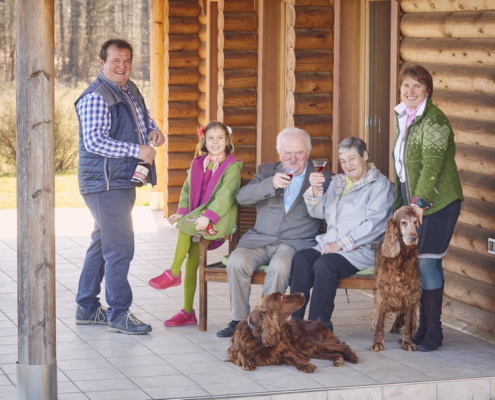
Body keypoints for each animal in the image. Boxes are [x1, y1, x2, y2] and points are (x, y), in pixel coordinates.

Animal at [227, 290, 358, 372]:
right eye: (281, 297)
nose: (302, 293)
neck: (258, 337)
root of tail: (320, 323)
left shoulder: (285, 350)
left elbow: (294, 358)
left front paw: (305, 365)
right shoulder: (233, 349)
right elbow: (240, 352)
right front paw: (248, 362)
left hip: (310, 343)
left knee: (344, 346)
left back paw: (351, 357)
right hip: (311, 348)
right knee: (334, 352)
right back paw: (338, 358)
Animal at [372, 206, 422, 354]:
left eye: (415, 222)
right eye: (403, 222)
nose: (414, 237)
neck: (401, 257)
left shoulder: (411, 290)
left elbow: (409, 321)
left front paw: (407, 342)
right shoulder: (383, 290)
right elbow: (379, 321)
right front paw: (377, 343)